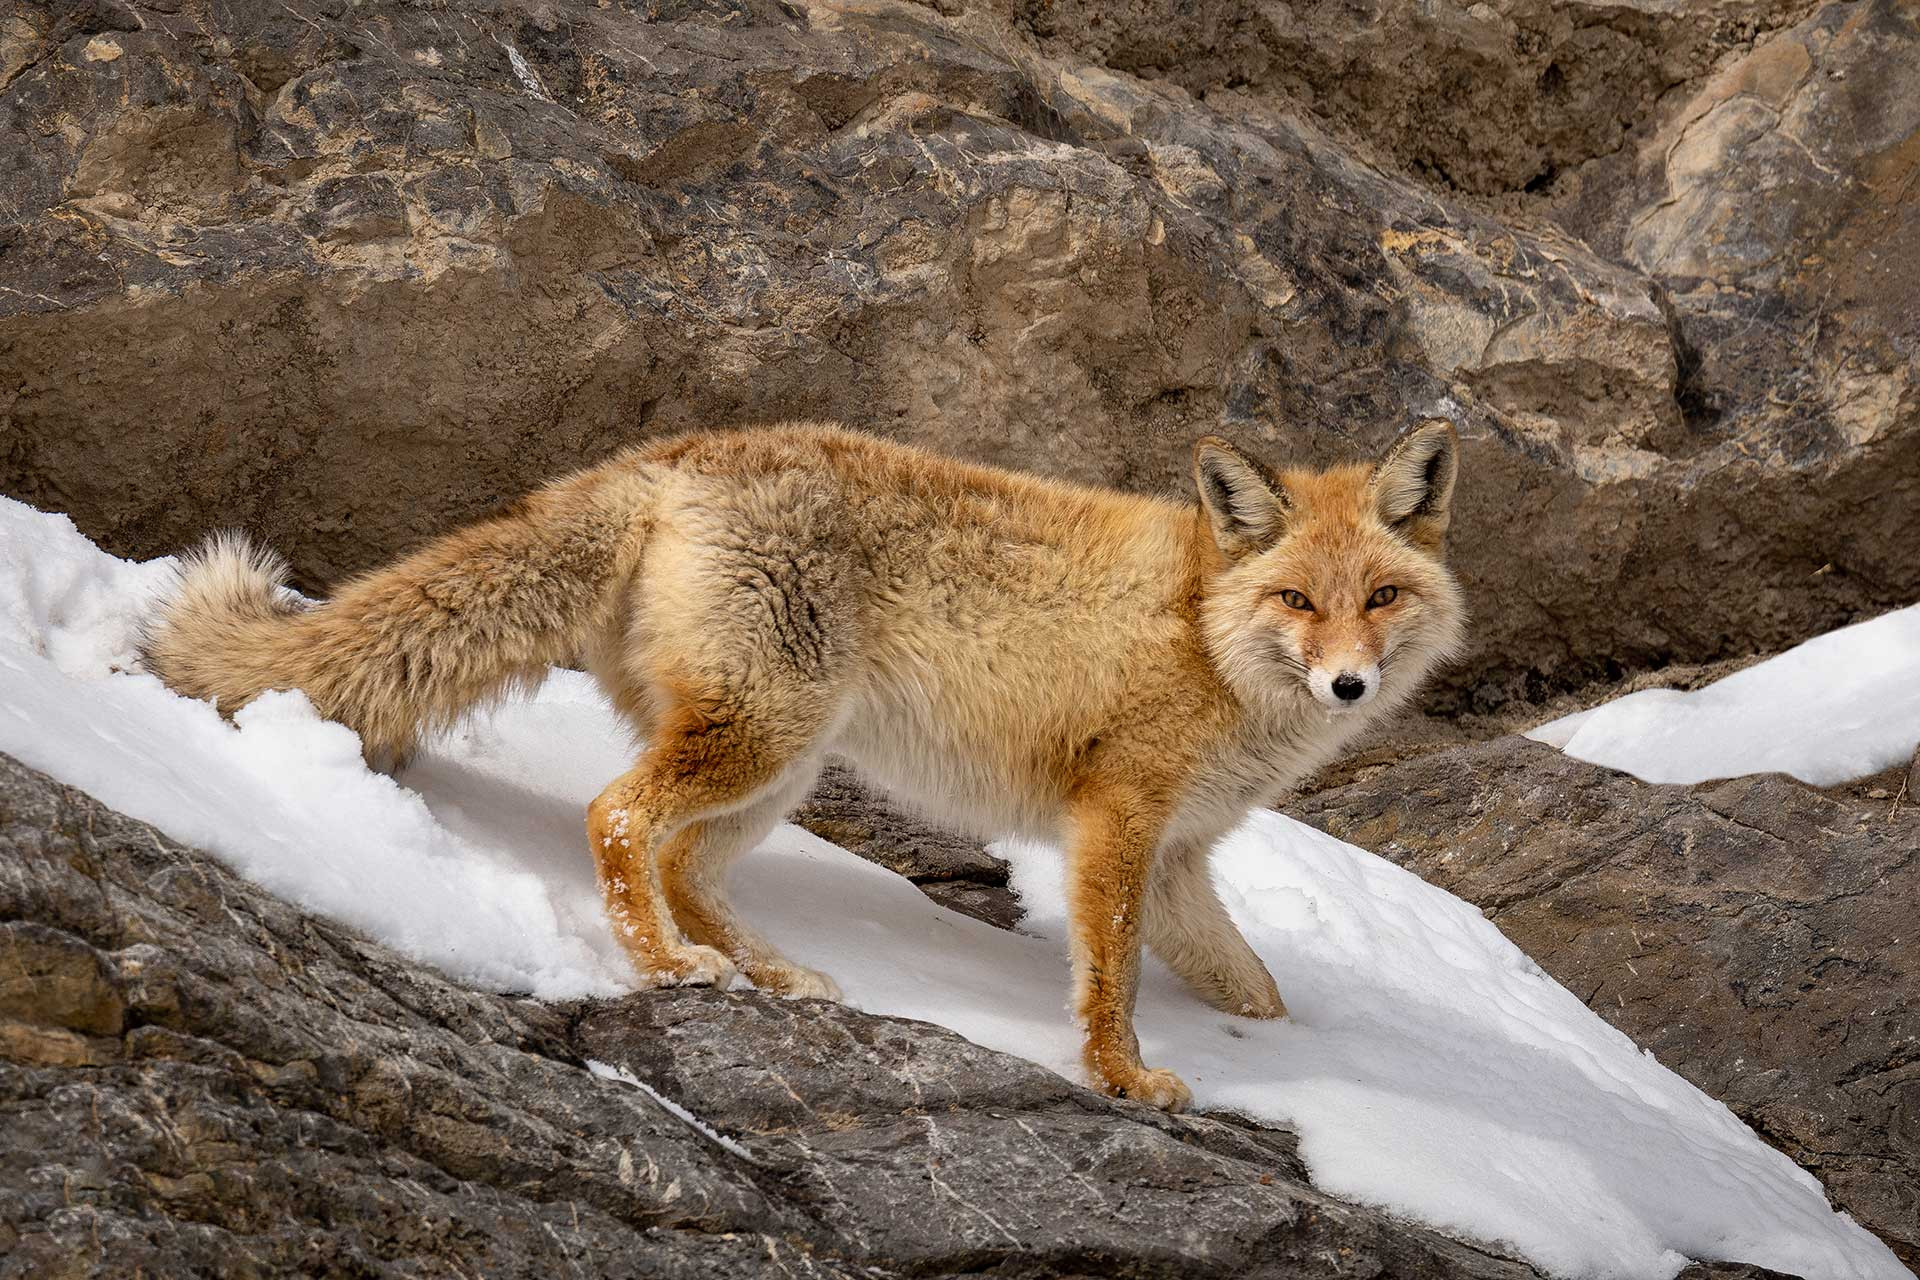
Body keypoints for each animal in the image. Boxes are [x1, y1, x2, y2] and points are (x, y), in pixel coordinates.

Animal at [142, 421, 1465, 1110]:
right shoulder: (1117, 822)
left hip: (779, 767)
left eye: (1380, 598)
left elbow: (1254, 988)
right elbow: (1110, 979)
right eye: (1298, 600)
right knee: (615, 816)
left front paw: (1310, 1061)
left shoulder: (1184, 853)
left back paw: (773, 975)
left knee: (685, 866)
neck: (1203, 626)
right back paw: (668, 966)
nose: (1349, 686)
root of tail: (673, 452)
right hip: (760, 739)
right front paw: (1119, 1077)